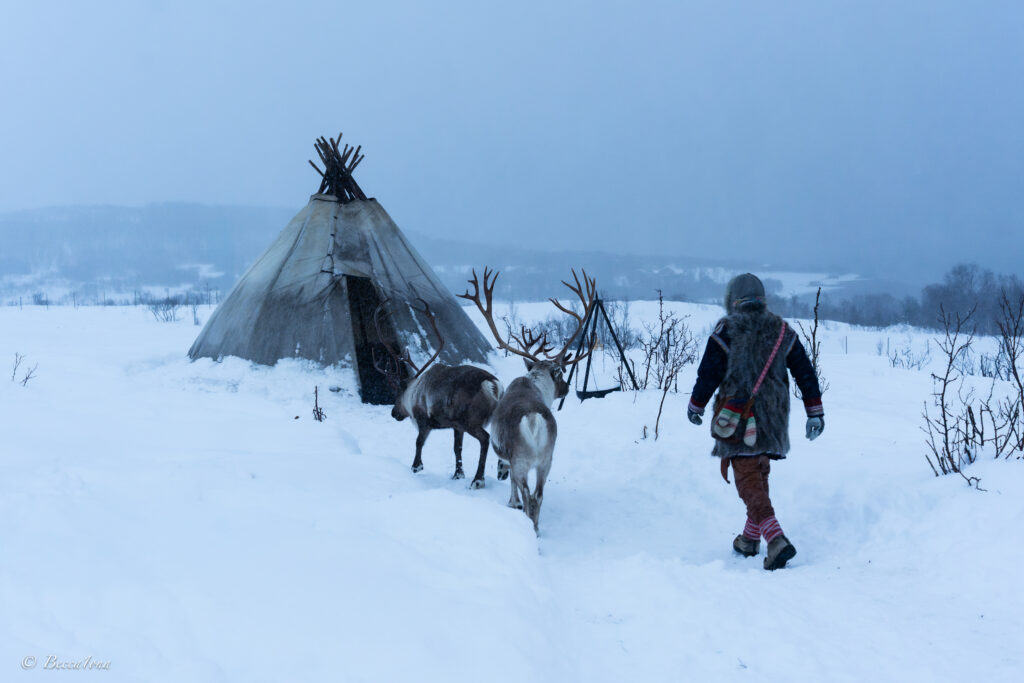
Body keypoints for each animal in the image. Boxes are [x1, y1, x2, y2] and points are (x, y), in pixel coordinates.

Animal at [373, 299, 504, 489]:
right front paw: (458, 474)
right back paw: (502, 471)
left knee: (485, 439)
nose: (393, 412)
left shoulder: (424, 420)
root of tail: (492, 385)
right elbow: (457, 448)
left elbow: (418, 442)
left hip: (471, 420)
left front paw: (416, 466)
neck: (413, 392)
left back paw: (478, 480)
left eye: (397, 394)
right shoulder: (456, 426)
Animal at [459, 267, 597, 532]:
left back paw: (528, 524)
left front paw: (511, 503)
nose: (567, 388)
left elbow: (512, 483)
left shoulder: (511, 460)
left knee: (528, 494)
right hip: (546, 460)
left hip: (521, 459)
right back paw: (536, 528)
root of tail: (533, 420)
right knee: (539, 495)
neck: (534, 384)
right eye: (561, 375)